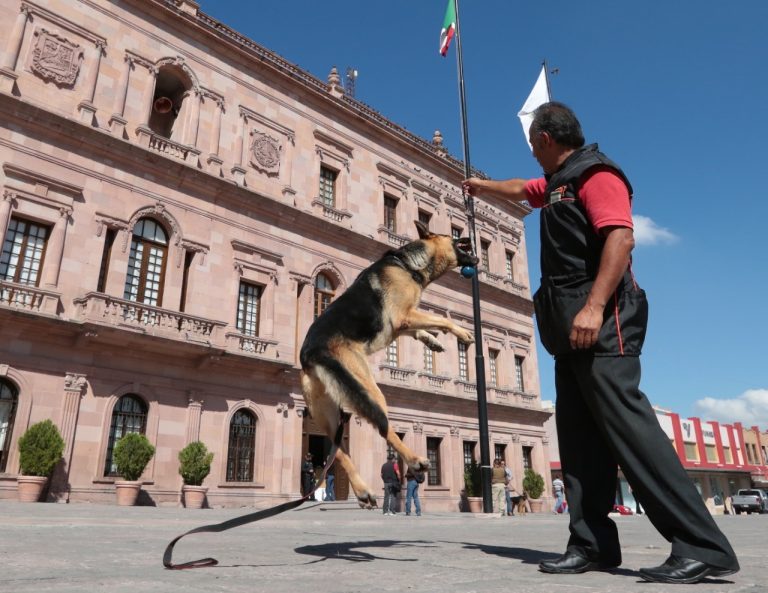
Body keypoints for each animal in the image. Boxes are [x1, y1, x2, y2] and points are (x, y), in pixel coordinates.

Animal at [302, 220, 476, 506]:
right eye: (453, 234)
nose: (469, 235)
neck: (407, 264)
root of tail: (309, 354)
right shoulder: (402, 316)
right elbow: (443, 320)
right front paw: (460, 332)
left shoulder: (401, 324)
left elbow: (420, 330)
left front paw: (432, 341)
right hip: (367, 389)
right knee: (384, 429)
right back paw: (414, 461)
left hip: (325, 414)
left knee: (338, 452)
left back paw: (362, 490)